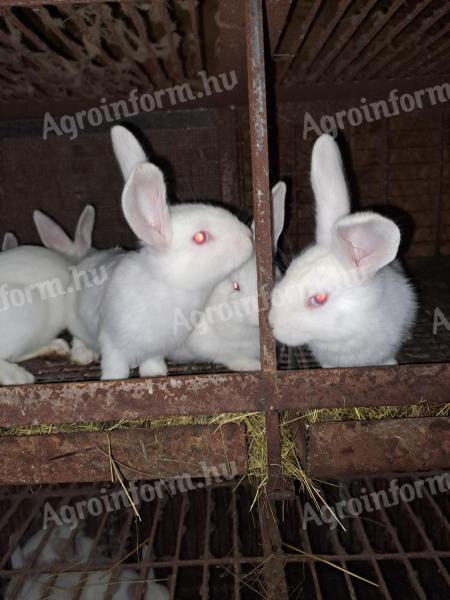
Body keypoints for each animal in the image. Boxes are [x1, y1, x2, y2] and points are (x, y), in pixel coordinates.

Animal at [70, 126, 253, 380]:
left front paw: (154, 375)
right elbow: (115, 366)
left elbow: (152, 361)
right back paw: (83, 356)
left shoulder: (157, 348)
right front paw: (113, 379)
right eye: (200, 237)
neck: (168, 286)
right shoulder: (112, 341)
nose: (249, 236)